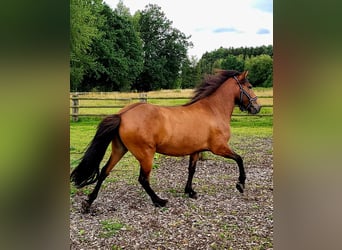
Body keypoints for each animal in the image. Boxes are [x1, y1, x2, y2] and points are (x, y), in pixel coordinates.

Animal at [71, 70, 260, 209]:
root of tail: (122, 115)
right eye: (250, 86)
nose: (257, 108)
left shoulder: (196, 150)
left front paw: (190, 191)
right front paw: (240, 184)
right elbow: (239, 159)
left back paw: (88, 202)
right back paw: (159, 201)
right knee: (143, 179)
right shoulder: (219, 148)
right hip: (146, 154)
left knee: (104, 172)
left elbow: (192, 170)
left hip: (119, 149)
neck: (212, 110)